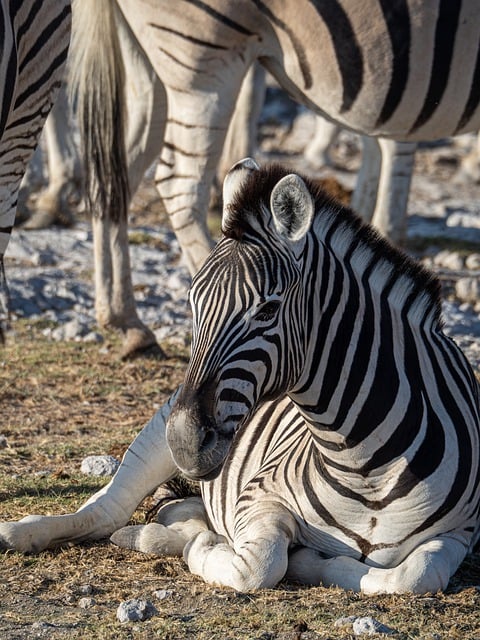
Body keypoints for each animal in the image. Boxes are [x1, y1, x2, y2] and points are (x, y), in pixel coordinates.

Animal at [1, 156, 478, 596]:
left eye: (267, 310)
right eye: (193, 304)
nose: (184, 441)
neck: (364, 470)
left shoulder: (461, 532)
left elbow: (413, 576)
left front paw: (311, 561)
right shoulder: (259, 496)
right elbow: (259, 566)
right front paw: (212, 547)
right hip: (159, 427)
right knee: (107, 512)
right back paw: (25, 532)